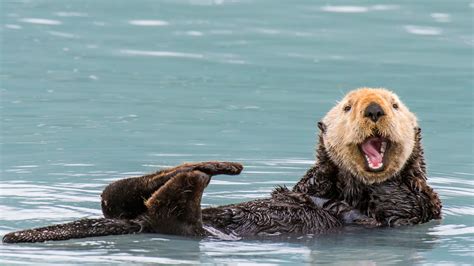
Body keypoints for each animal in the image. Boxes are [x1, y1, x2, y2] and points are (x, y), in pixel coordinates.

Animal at [2, 88, 440, 243]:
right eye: (348, 107)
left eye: (394, 105)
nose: (373, 109)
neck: (351, 187)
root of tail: (136, 222)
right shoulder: (312, 184)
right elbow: (305, 188)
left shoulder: (419, 206)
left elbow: (394, 204)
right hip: (131, 208)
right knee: (115, 195)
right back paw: (211, 166)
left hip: (190, 228)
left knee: (165, 213)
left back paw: (197, 176)